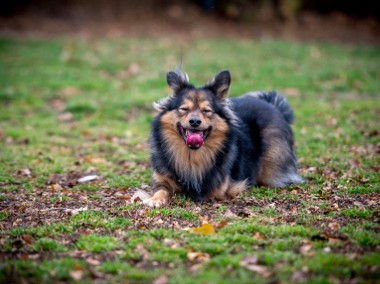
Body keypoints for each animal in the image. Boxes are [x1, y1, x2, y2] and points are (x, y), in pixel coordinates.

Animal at [142, 68, 302, 207]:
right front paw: (154, 199)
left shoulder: (221, 188)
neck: (192, 155)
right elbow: (161, 189)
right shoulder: (162, 179)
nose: (195, 121)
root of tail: (272, 105)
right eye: (184, 109)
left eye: (207, 111)